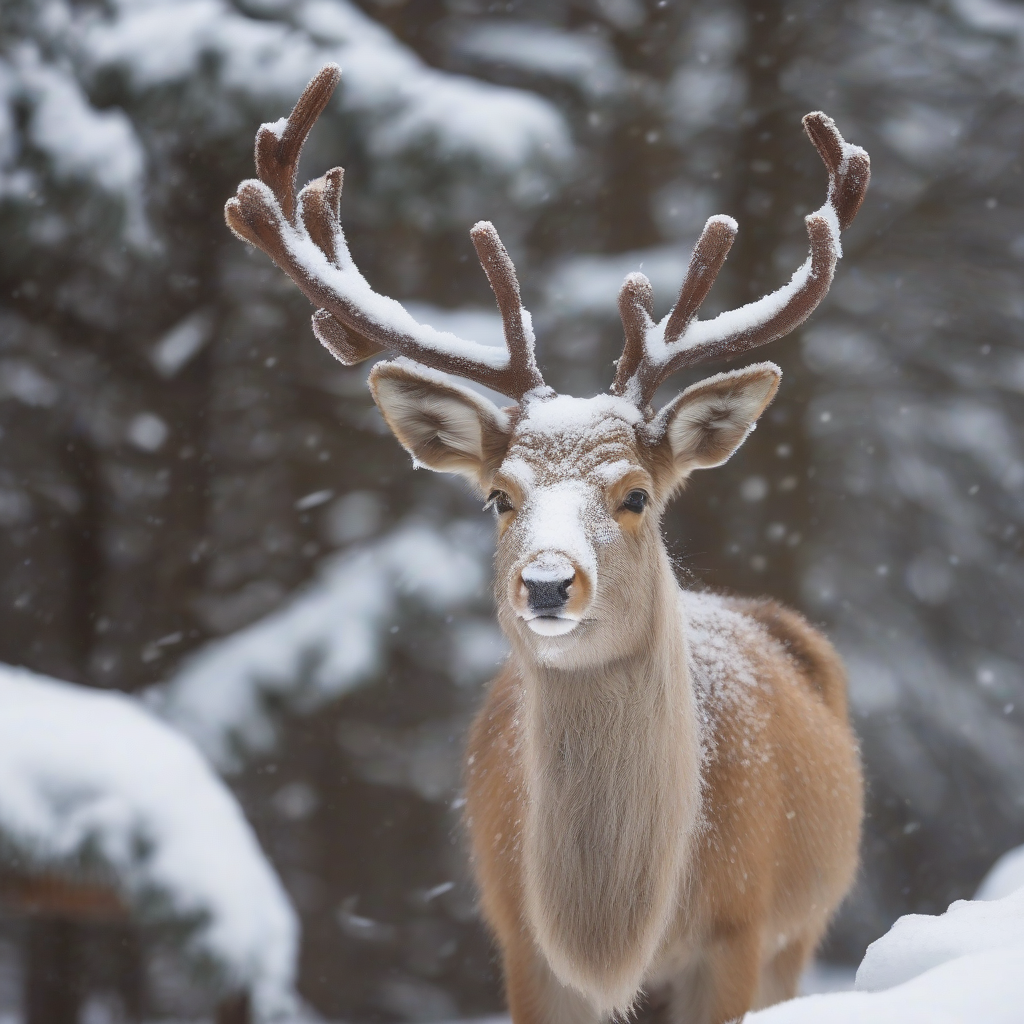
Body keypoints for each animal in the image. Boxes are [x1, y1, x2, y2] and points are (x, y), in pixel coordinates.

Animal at [228, 68, 868, 1019]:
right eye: (499, 496)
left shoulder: (738, 932)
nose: (547, 582)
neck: (611, 932)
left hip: (803, 928)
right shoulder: (522, 942)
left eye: (637, 494)